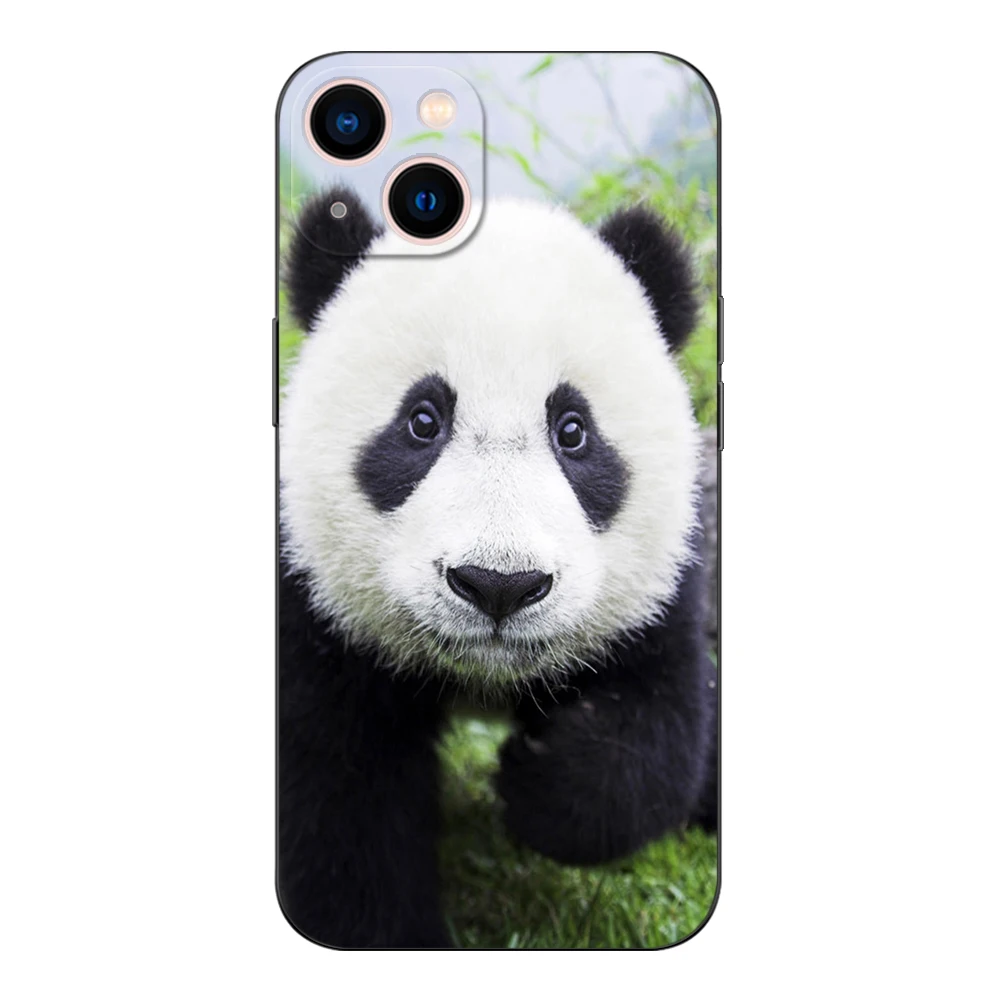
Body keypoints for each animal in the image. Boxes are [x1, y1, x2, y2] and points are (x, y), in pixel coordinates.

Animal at [277, 189, 718, 949]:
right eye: (422, 421)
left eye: (573, 431)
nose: (499, 585)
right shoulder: (314, 607)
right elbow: (339, 799)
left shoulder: (661, 589)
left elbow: (655, 735)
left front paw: (539, 776)